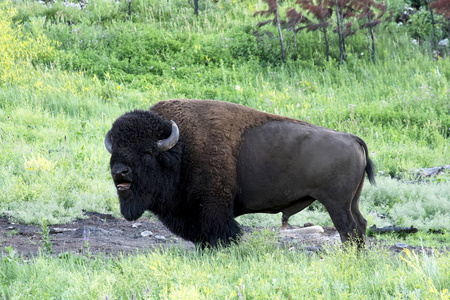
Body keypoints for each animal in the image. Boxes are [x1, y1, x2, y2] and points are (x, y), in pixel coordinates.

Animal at [103, 99, 374, 247]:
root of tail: (351, 138)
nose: (120, 172)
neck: (182, 149)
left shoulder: (213, 209)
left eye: (147, 153)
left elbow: (221, 234)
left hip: (335, 203)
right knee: (360, 225)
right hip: (352, 201)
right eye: (114, 150)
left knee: (347, 229)